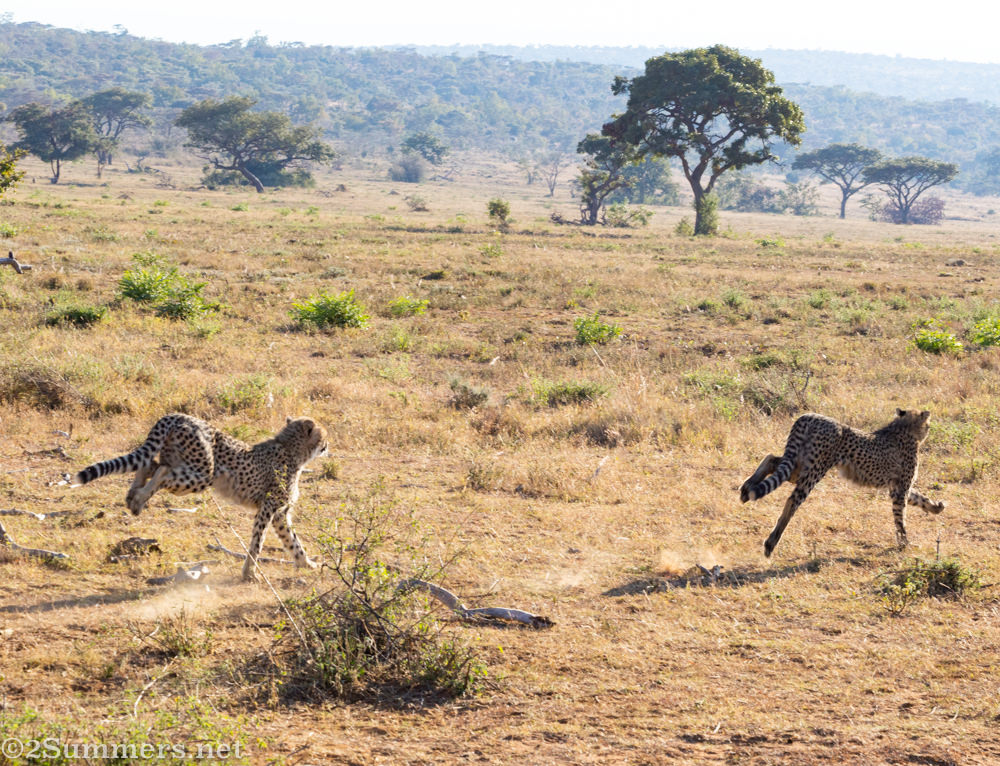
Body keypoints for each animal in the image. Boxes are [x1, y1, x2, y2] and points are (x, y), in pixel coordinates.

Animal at [72, 413, 329, 582]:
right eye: (323, 434)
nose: (328, 444)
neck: (293, 450)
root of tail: (179, 415)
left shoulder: (279, 513)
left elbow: (293, 541)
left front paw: (307, 563)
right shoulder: (268, 507)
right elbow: (258, 542)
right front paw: (250, 573)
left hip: (180, 460)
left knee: (150, 464)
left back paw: (133, 497)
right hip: (203, 474)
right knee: (162, 471)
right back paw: (138, 498)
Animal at [739, 409, 945, 557]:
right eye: (928, 424)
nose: (929, 429)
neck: (902, 428)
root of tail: (810, 416)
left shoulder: (896, 487)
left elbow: (918, 497)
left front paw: (936, 507)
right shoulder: (900, 488)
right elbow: (900, 516)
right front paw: (904, 543)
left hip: (798, 465)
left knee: (772, 459)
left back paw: (746, 489)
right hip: (815, 470)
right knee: (793, 500)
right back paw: (771, 542)